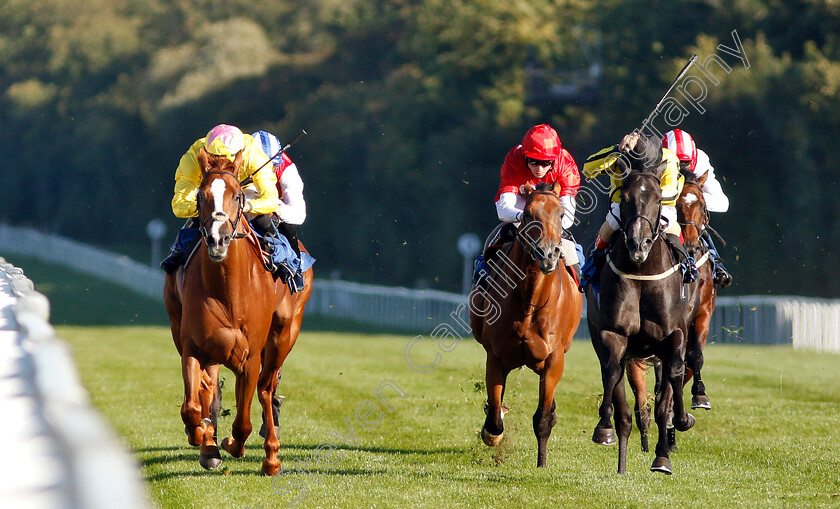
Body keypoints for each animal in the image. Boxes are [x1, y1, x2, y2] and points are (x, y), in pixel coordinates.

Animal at [161, 148, 312, 476]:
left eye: (237, 195)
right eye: (201, 195)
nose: (217, 239)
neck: (228, 290)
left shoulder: (251, 356)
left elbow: (243, 421)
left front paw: (233, 443)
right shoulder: (193, 346)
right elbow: (193, 405)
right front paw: (202, 436)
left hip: (284, 333)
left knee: (267, 389)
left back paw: (271, 455)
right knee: (209, 391)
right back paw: (209, 444)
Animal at [470, 181, 580, 466]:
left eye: (560, 214)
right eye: (528, 214)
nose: (547, 254)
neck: (530, 301)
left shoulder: (554, 359)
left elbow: (543, 418)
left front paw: (541, 463)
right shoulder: (496, 356)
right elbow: (494, 420)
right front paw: (494, 430)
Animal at [584, 166, 696, 472]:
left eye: (658, 199)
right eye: (625, 199)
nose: (638, 243)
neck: (642, 273)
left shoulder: (674, 334)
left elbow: (674, 376)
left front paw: (679, 424)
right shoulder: (612, 334)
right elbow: (612, 373)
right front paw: (603, 428)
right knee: (622, 400)